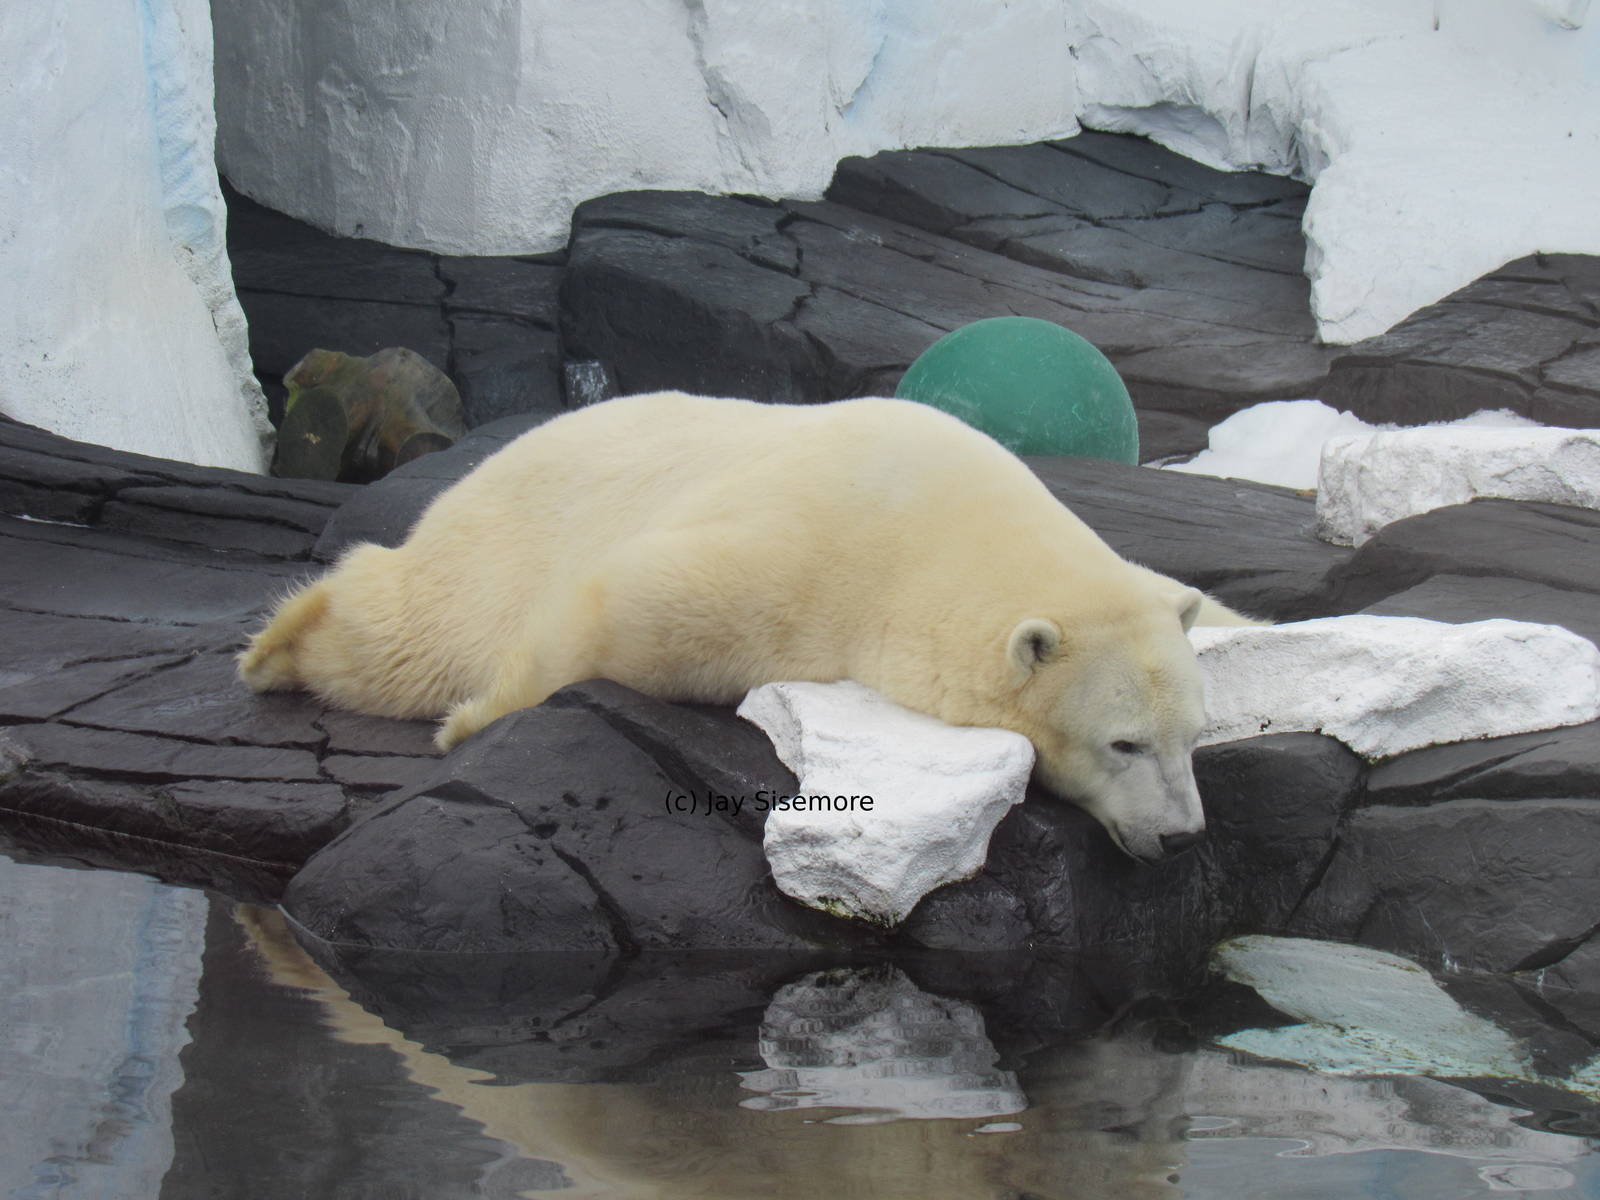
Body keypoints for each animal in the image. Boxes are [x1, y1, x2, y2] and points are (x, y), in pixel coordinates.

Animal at [239, 392, 1257, 862]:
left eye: (1193, 736)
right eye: (1123, 743)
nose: (1184, 837)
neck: (951, 531)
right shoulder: (828, 558)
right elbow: (635, 600)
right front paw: (475, 720)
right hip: (490, 544)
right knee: (405, 634)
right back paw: (278, 644)